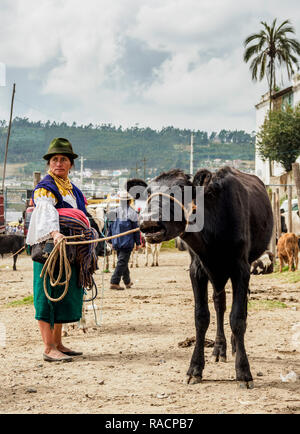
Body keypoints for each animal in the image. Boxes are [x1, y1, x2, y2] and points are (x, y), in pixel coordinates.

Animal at [127, 167, 274, 390]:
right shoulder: (196, 270)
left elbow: (238, 318)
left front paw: (243, 372)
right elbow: (201, 317)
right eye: (148, 192)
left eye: (181, 190)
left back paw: (233, 345)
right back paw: (219, 349)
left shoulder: (241, 269)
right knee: (220, 303)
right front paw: (195, 369)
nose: (150, 221)